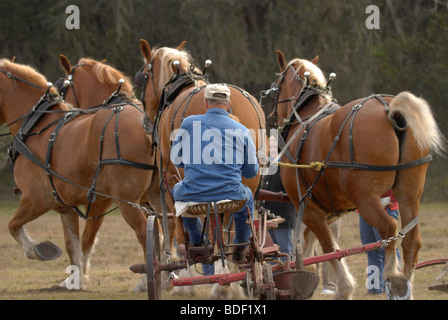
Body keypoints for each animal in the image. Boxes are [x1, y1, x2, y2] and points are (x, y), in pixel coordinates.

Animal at [0, 58, 154, 290]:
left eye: (65, 85)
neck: (37, 127)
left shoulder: (35, 199)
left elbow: (13, 226)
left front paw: (40, 250)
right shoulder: (66, 206)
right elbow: (74, 243)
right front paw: (75, 278)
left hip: (128, 200)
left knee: (148, 233)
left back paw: (150, 281)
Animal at [272, 50, 446, 300]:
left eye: (278, 85)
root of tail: (391, 109)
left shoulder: (307, 208)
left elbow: (329, 248)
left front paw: (343, 288)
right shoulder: (324, 210)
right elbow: (310, 244)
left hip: (366, 197)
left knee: (388, 229)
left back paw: (392, 275)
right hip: (409, 193)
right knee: (412, 240)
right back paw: (405, 285)